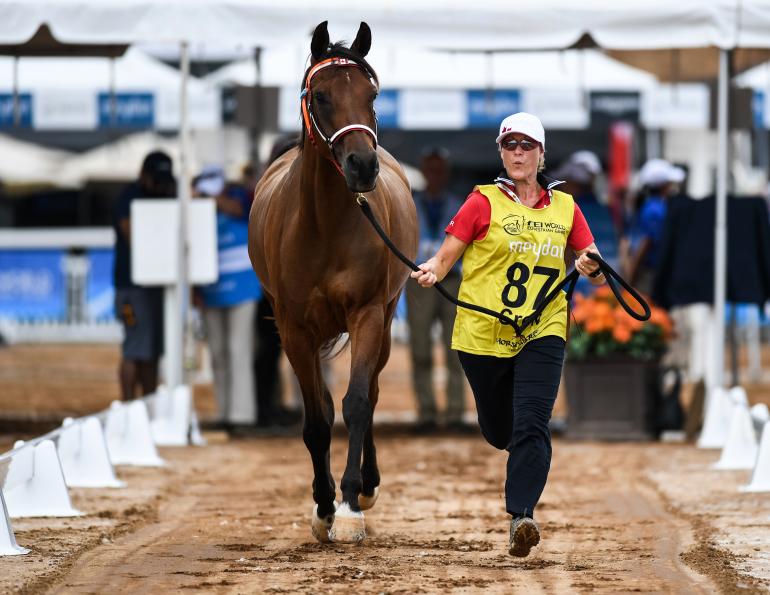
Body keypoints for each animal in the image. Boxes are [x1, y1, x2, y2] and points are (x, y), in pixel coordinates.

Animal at [248, 21, 417, 544]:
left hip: (385, 323)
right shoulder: (294, 329)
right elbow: (317, 420)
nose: (363, 165)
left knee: (373, 393)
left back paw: (367, 484)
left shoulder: (367, 315)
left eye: (372, 94)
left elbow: (358, 403)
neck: (324, 226)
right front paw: (323, 507)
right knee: (321, 404)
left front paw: (349, 505)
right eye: (321, 95)